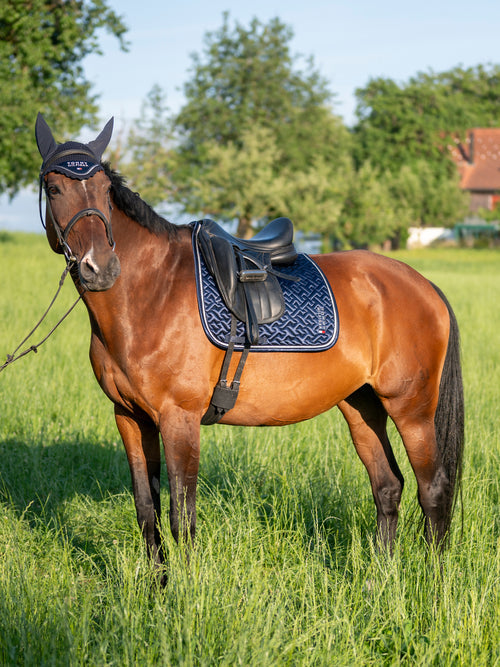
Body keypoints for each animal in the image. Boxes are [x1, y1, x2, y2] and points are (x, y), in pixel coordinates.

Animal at [35, 116, 464, 576]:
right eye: (55, 188)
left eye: (103, 190)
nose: (100, 268)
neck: (151, 293)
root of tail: (422, 285)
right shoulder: (129, 418)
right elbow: (147, 509)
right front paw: (157, 584)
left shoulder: (178, 419)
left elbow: (182, 515)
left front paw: (186, 588)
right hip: (361, 406)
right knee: (387, 485)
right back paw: (378, 578)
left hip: (411, 409)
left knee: (433, 490)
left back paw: (432, 581)